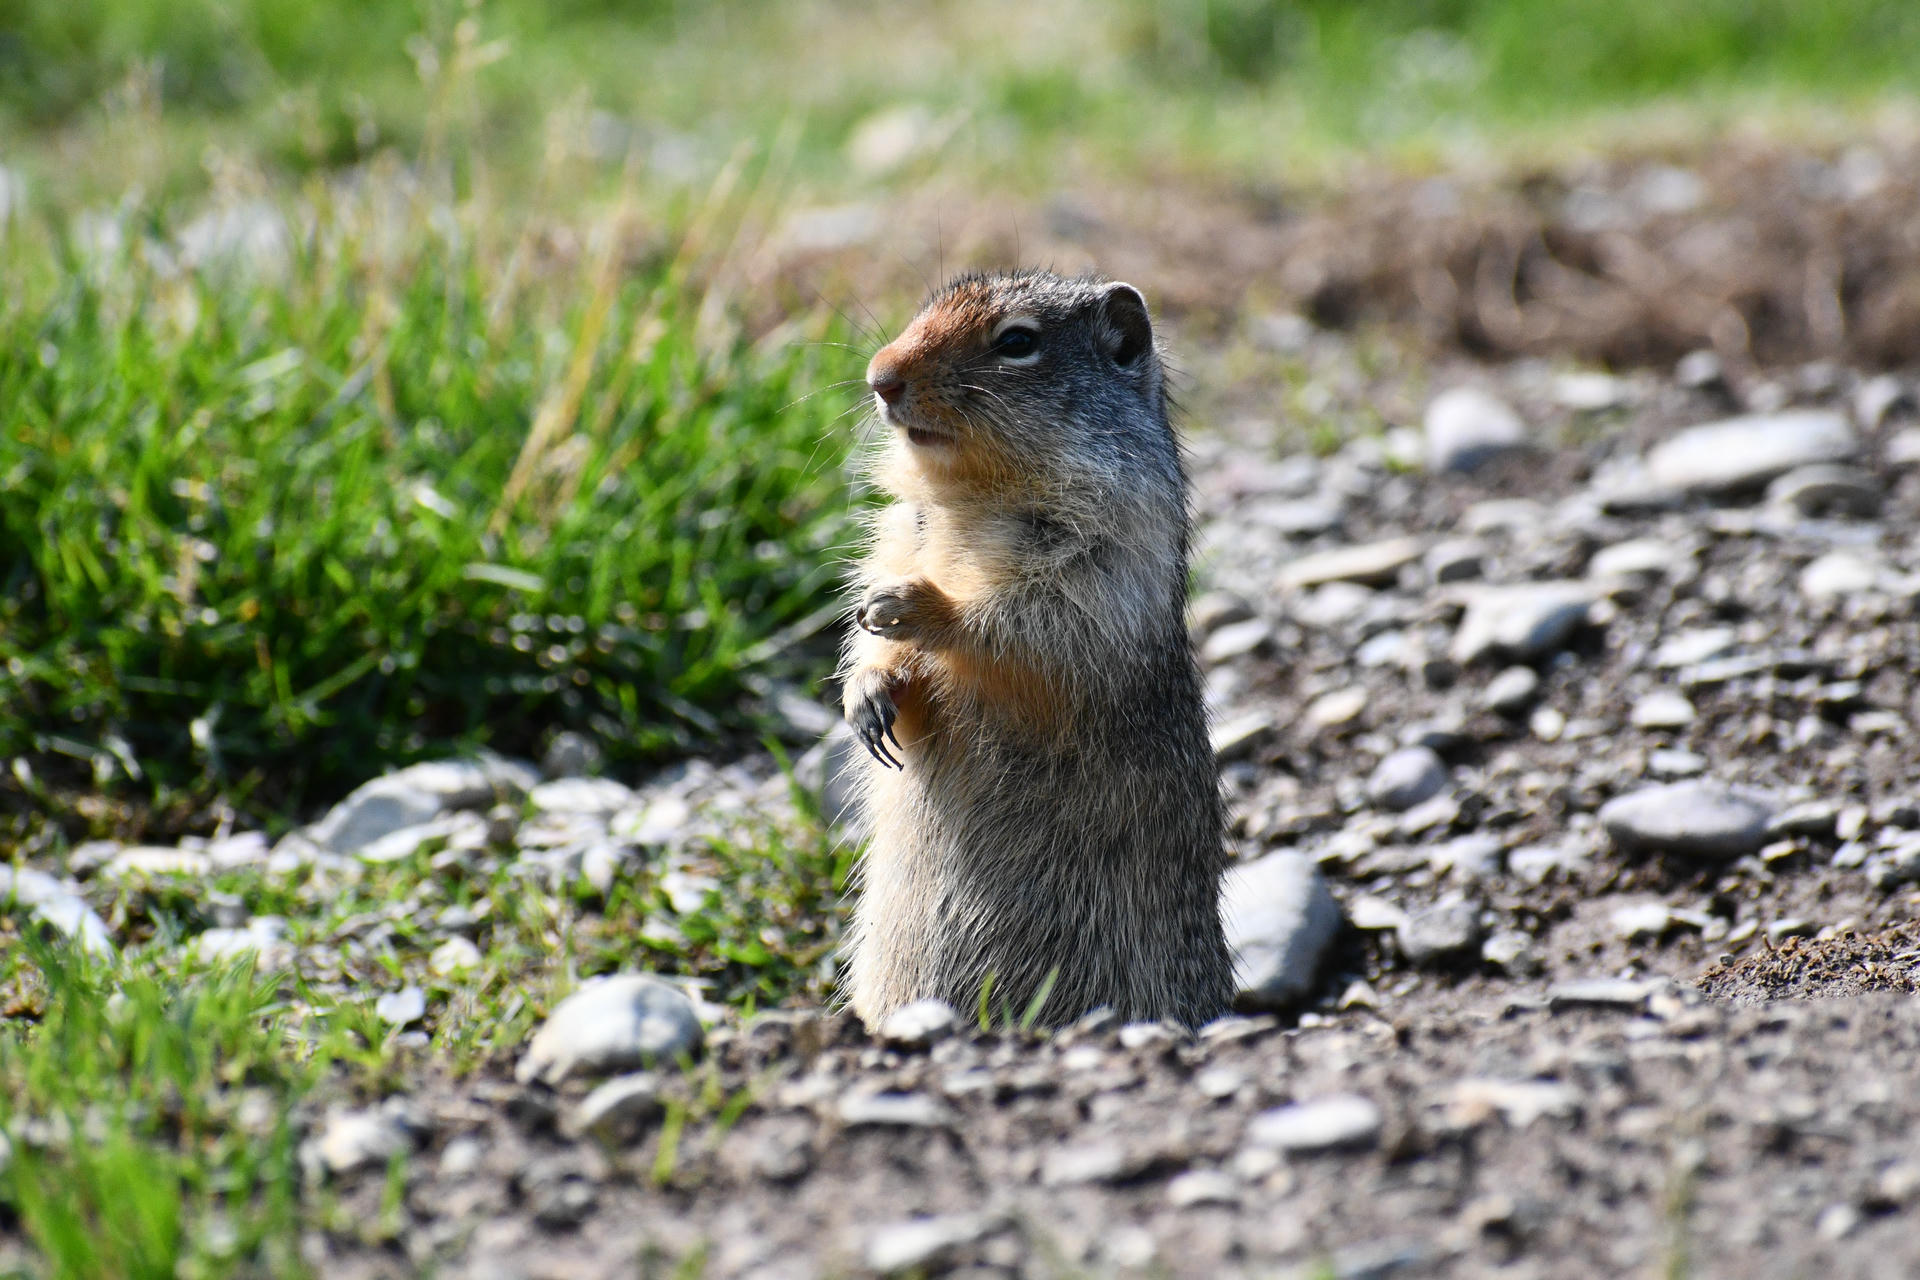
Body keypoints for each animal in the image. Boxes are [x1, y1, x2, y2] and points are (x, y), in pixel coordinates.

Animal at [837, 268, 1234, 1030]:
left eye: (1017, 341)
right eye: (923, 308)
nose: (878, 375)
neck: (970, 500)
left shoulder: (1098, 570)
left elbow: (1025, 628)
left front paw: (915, 606)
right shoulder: (900, 532)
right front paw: (867, 689)